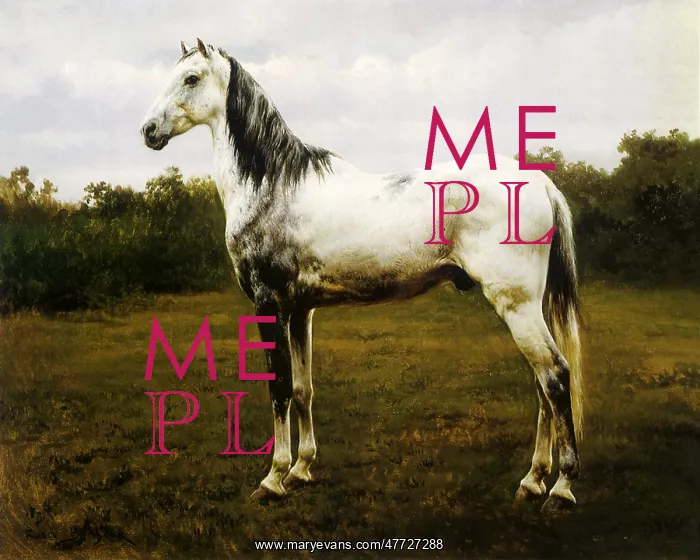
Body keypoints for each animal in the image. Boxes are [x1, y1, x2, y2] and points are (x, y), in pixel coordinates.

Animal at [140, 39, 583, 513]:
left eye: (191, 78)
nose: (148, 130)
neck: (272, 185)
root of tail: (539, 183)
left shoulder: (269, 305)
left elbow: (279, 388)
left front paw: (274, 478)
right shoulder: (300, 311)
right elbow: (303, 388)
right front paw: (302, 469)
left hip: (516, 305)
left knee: (555, 377)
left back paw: (560, 488)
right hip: (527, 309)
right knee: (542, 386)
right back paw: (532, 481)